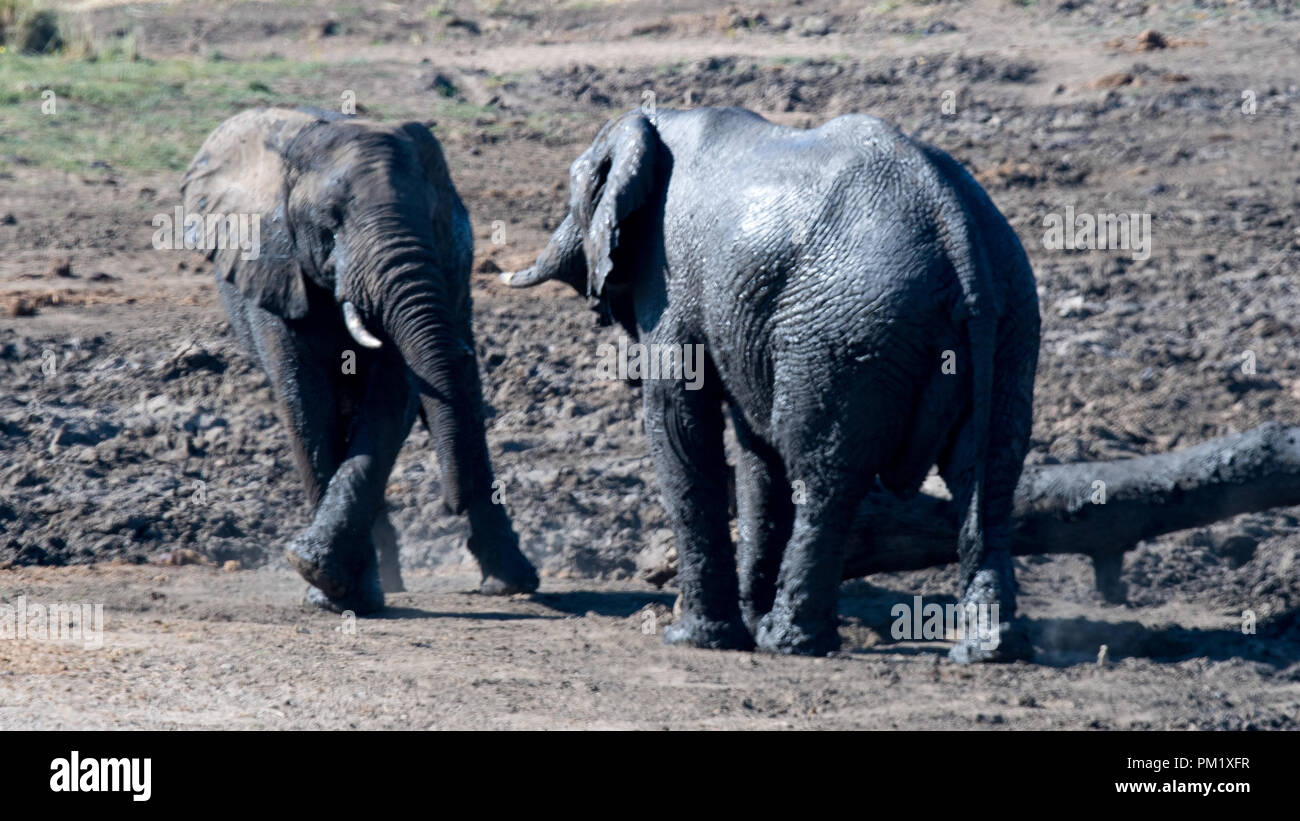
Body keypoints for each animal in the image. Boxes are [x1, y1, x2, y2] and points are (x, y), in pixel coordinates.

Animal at [182, 105, 538, 613]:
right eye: (329, 224)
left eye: (432, 219)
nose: (449, 504)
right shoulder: (276, 271)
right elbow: (308, 407)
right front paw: (329, 589)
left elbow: (391, 400)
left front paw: (330, 582)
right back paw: (388, 583)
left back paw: (508, 583)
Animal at [501, 107, 1040, 659]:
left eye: (575, 189)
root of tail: (957, 229)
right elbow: (756, 450)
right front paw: (742, 624)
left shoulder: (672, 282)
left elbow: (679, 422)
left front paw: (696, 638)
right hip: (1011, 322)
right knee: (991, 473)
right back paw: (989, 649)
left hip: (845, 331)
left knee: (824, 475)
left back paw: (790, 641)